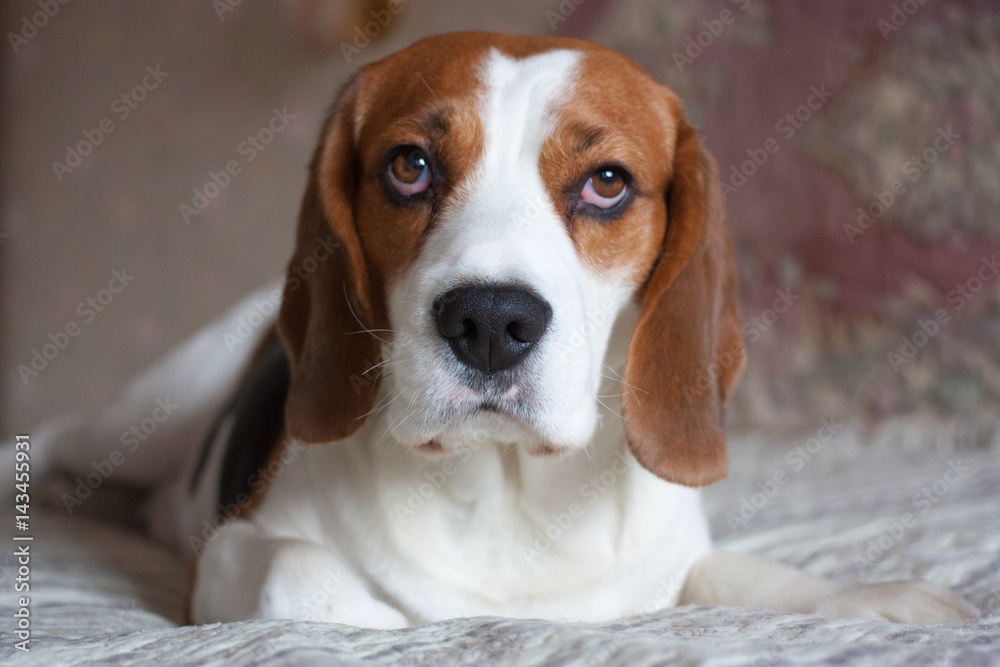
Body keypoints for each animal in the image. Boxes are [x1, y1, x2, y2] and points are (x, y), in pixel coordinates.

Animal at [25, 31, 976, 628]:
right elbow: (304, 575)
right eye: (409, 167)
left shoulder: (669, 569)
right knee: (49, 440)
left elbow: (741, 573)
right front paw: (395, 617)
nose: (489, 320)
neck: (507, 489)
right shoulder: (228, 551)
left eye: (606, 182)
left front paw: (887, 600)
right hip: (152, 405)